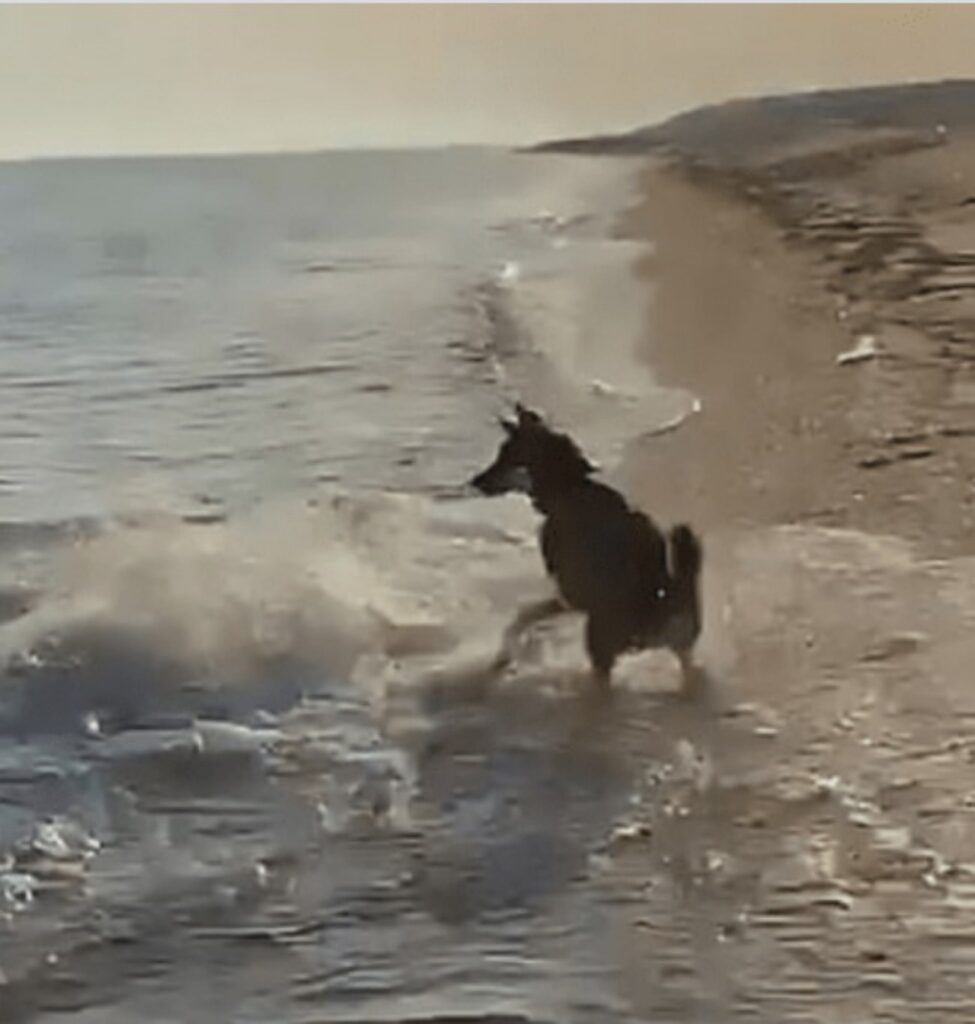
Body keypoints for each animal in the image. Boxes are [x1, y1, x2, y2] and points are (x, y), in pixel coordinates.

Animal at [471, 401, 700, 688]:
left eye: (506, 458)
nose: (474, 482)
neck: (571, 488)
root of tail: (662, 610)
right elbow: (526, 615)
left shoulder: (571, 594)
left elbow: (526, 614)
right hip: (677, 645)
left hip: (598, 640)